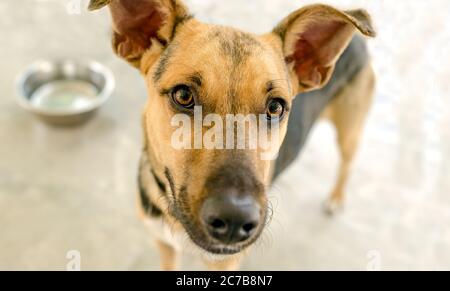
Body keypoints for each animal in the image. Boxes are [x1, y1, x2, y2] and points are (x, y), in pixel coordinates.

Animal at [88, 0, 376, 272]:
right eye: (183, 95)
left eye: (275, 107)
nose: (236, 221)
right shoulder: (164, 244)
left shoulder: (225, 263)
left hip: (350, 132)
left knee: (347, 164)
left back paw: (336, 198)